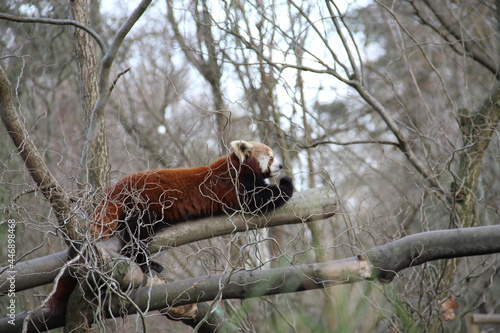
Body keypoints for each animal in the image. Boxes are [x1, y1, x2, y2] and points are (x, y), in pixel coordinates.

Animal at [47, 140, 292, 314]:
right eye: (270, 156)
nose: (281, 165)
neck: (237, 167)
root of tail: (119, 185)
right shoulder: (234, 187)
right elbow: (260, 200)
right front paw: (287, 184)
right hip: (143, 207)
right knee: (135, 237)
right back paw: (145, 263)